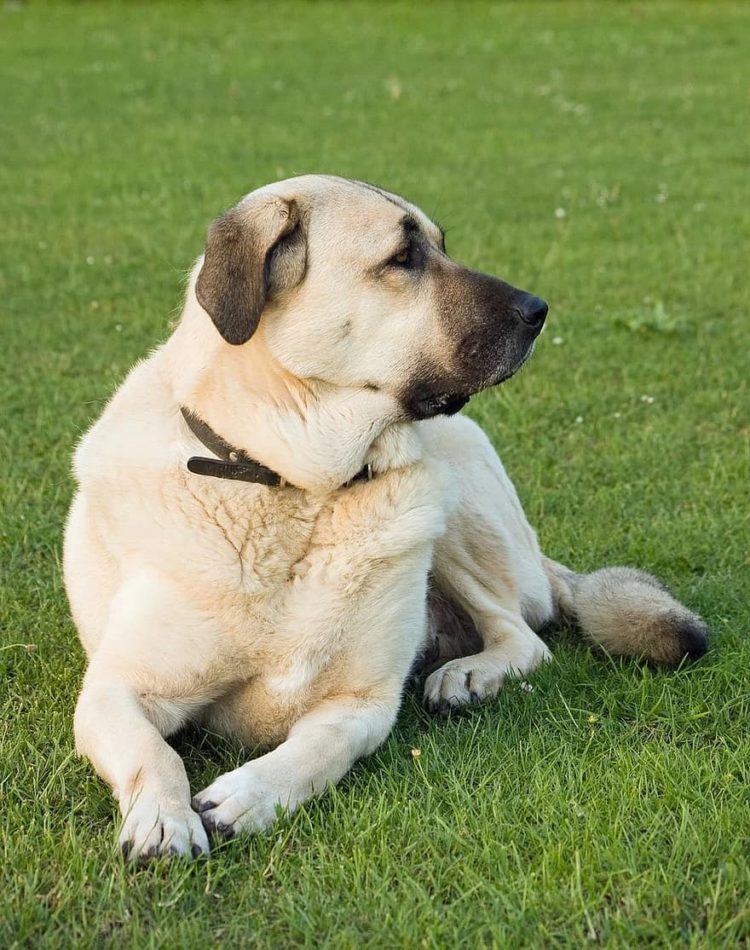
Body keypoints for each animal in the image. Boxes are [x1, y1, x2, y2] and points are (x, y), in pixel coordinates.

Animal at [64, 173, 712, 864]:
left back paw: (469, 675)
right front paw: (163, 817)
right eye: (403, 258)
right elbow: (153, 753)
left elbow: (314, 751)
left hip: (454, 516)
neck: (298, 488)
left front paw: (247, 796)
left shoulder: (363, 703)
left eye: (440, 246)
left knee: (523, 635)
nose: (539, 310)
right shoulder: (116, 691)